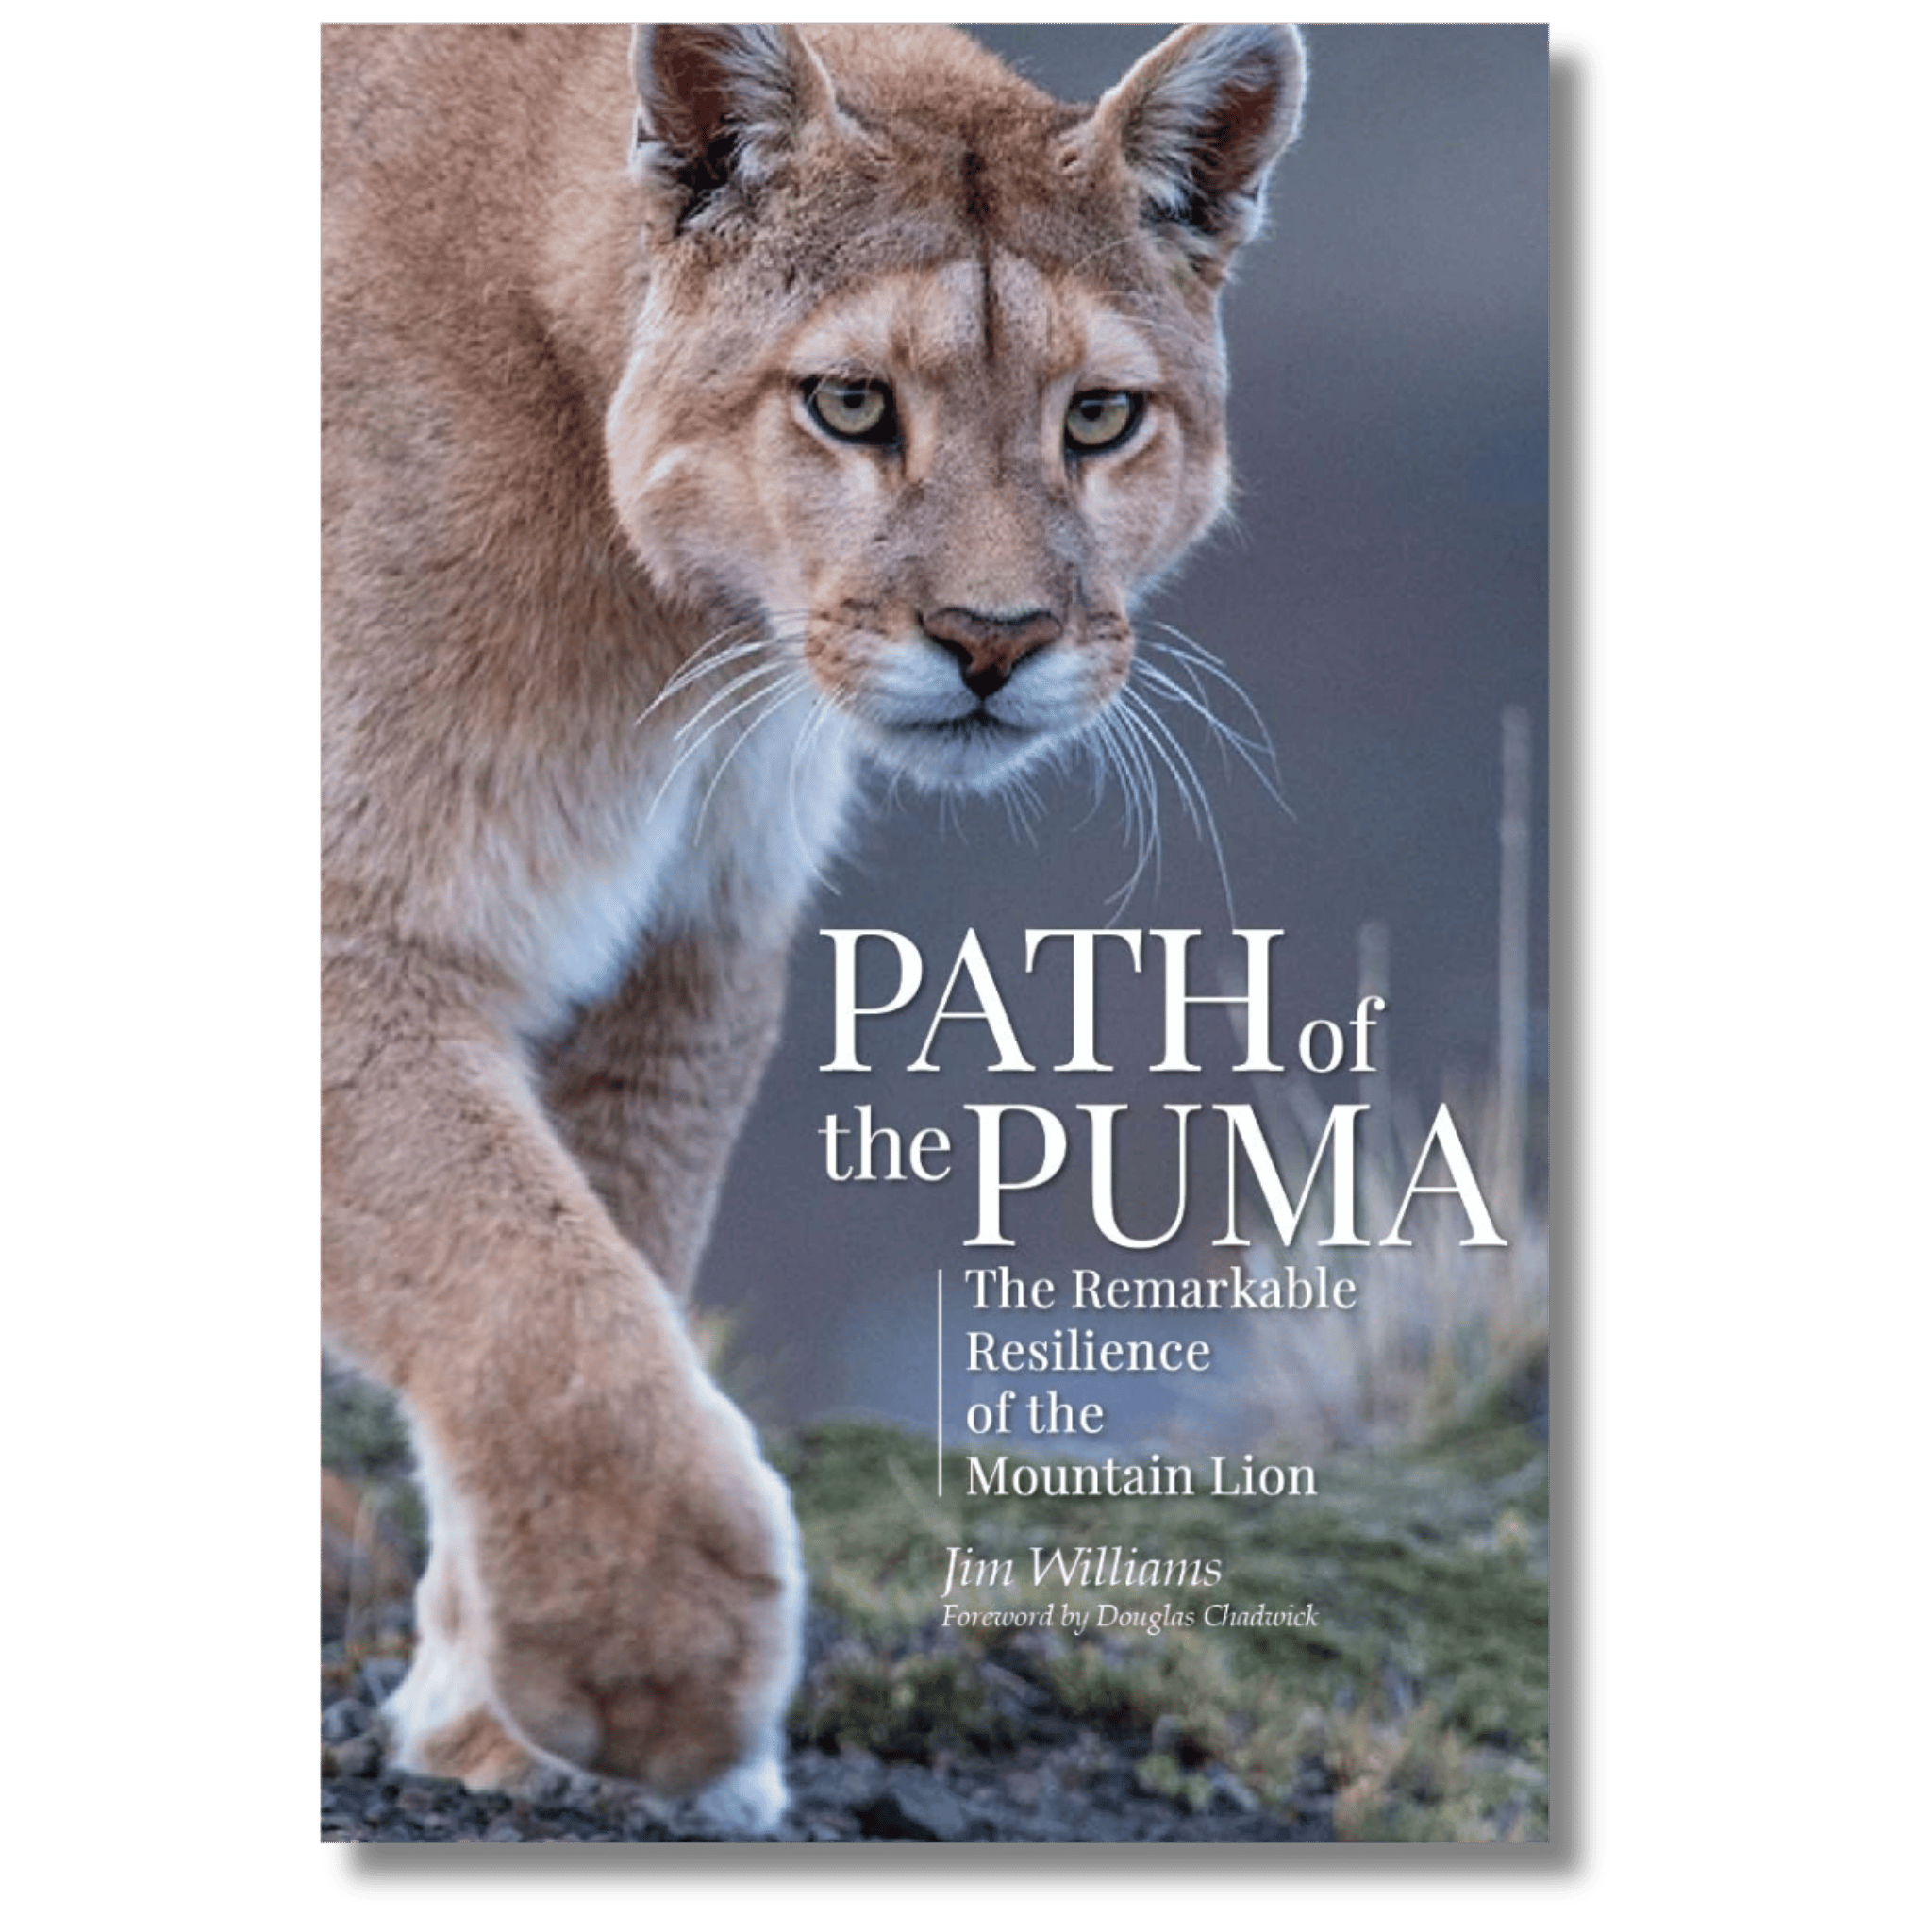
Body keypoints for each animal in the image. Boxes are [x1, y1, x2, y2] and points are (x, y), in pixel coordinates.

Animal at [321, 20, 1304, 1830]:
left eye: (1099, 416)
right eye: (850, 403)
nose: (994, 638)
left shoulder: (682, 947)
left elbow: (603, 1258)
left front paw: (499, 1716)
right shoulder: (365, 936)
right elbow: (530, 1286)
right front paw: (654, 1666)